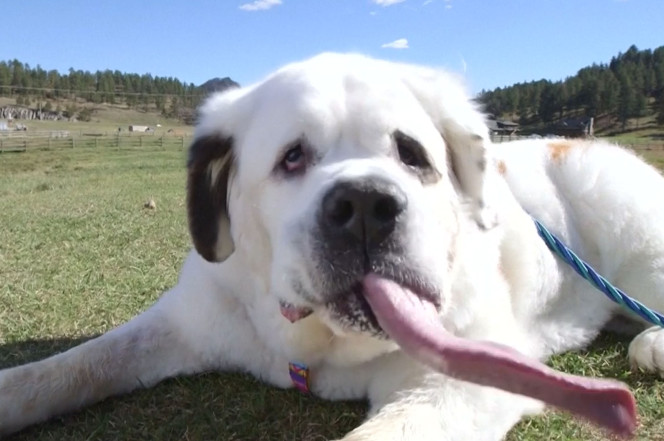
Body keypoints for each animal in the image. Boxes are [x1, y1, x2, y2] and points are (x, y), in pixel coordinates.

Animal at [1, 53, 664, 438]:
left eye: (412, 155)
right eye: (292, 157)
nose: (366, 206)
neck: (317, 347)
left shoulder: (464, 381)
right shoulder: (186, 319)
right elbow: (70, 367)